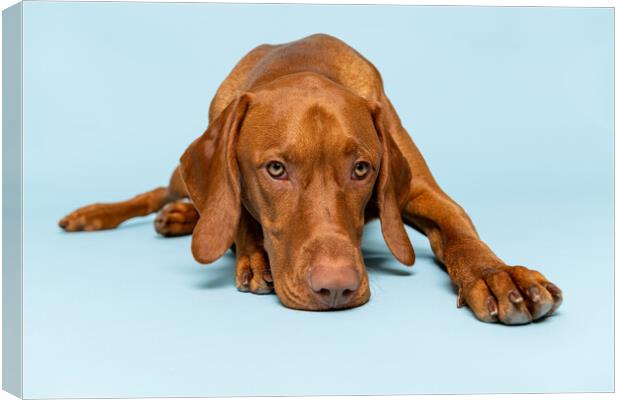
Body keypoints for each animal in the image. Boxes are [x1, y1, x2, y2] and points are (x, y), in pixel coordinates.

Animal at [59, 33, 560, 322]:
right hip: (177, 176)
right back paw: (96, 214)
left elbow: (460, 233)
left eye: (361, 169)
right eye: (276, 169)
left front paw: (497, 275)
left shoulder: (420, 191)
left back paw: (181, 218)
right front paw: (254, 257)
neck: (301, 63)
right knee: (158, 195)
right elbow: (236, 217)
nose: (335, 288)